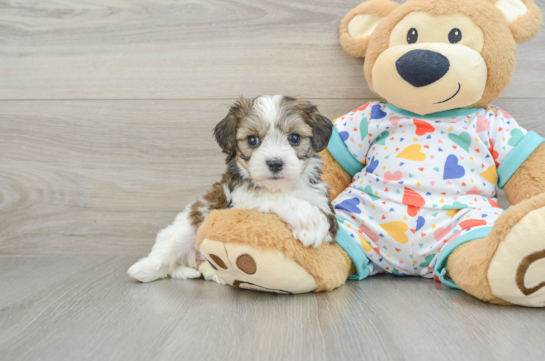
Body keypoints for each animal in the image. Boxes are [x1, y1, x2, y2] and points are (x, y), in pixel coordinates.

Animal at [129, 95, 338, 284]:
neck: (280, 186)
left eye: (294, 138)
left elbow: (323, 219)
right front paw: (307, 219)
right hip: (185, 229)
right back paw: (144, 269)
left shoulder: (322, 204)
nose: (275, 163)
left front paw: (313, 225)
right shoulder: (238, 198)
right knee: (167, 252)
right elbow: (270, 197)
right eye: (252, 140)